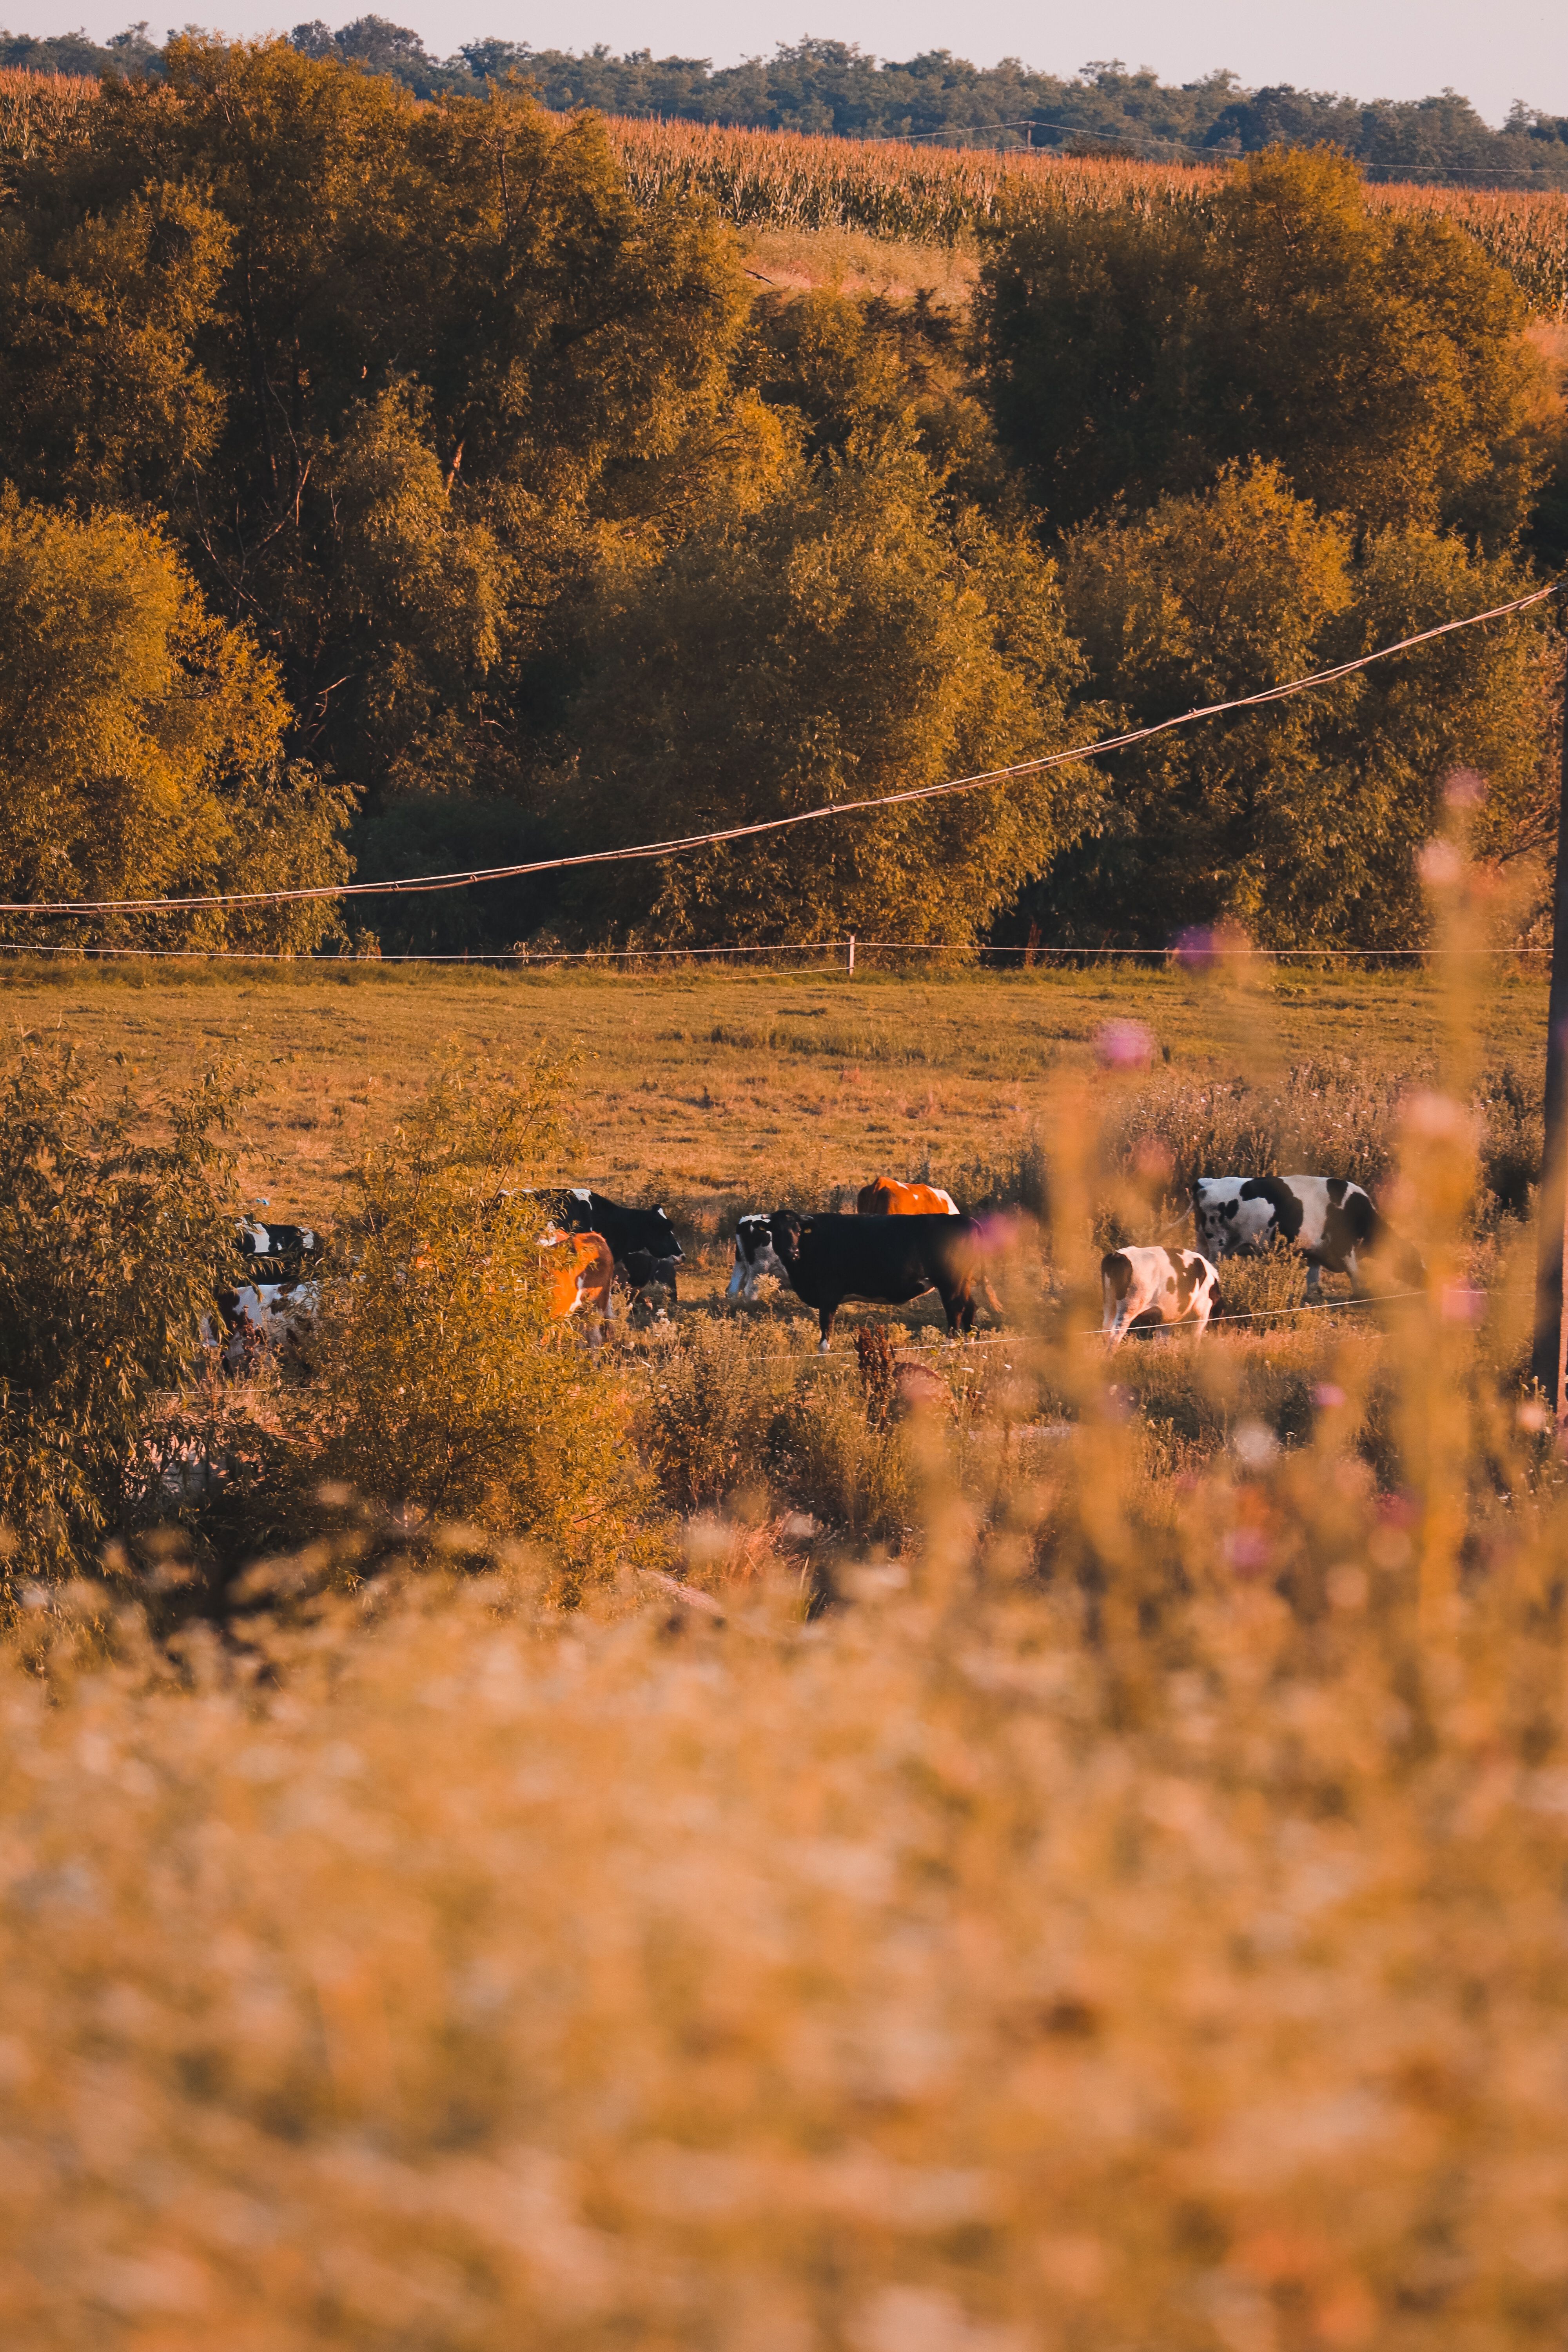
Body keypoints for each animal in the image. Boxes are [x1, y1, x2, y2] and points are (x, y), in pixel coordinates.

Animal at [767, 1210, 991, 1352]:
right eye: (776, 1231)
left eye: (798, 1231)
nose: (792, 1252)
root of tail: (966, 1219)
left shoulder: (828, 1295)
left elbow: (826, 1326)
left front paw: (824, 1353)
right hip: (962, 1283)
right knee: (970, 1308)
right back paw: (969, 1347)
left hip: (951, 1283)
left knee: (955, 1311)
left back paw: (948, 1349)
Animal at [1101, 1247, 1224, 1350]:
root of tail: (1117, 1255)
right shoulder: (1202, 1311)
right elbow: (1195, 1338)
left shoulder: (1165, 1318)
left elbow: (1161, 1340)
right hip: (1130, 1306)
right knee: (1116, 1334)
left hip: (1109, 1302)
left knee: (1106, 1329)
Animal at [1192, 1175, 1421, 1299]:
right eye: (1417, 1262)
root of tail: (1206, 1182)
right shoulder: (1345, 1249)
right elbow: (1355, 1274)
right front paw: (1361, 1296)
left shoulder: (1315, 1253)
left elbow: (1313, 1280)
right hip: (1218, 1245)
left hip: (1203, 1242)